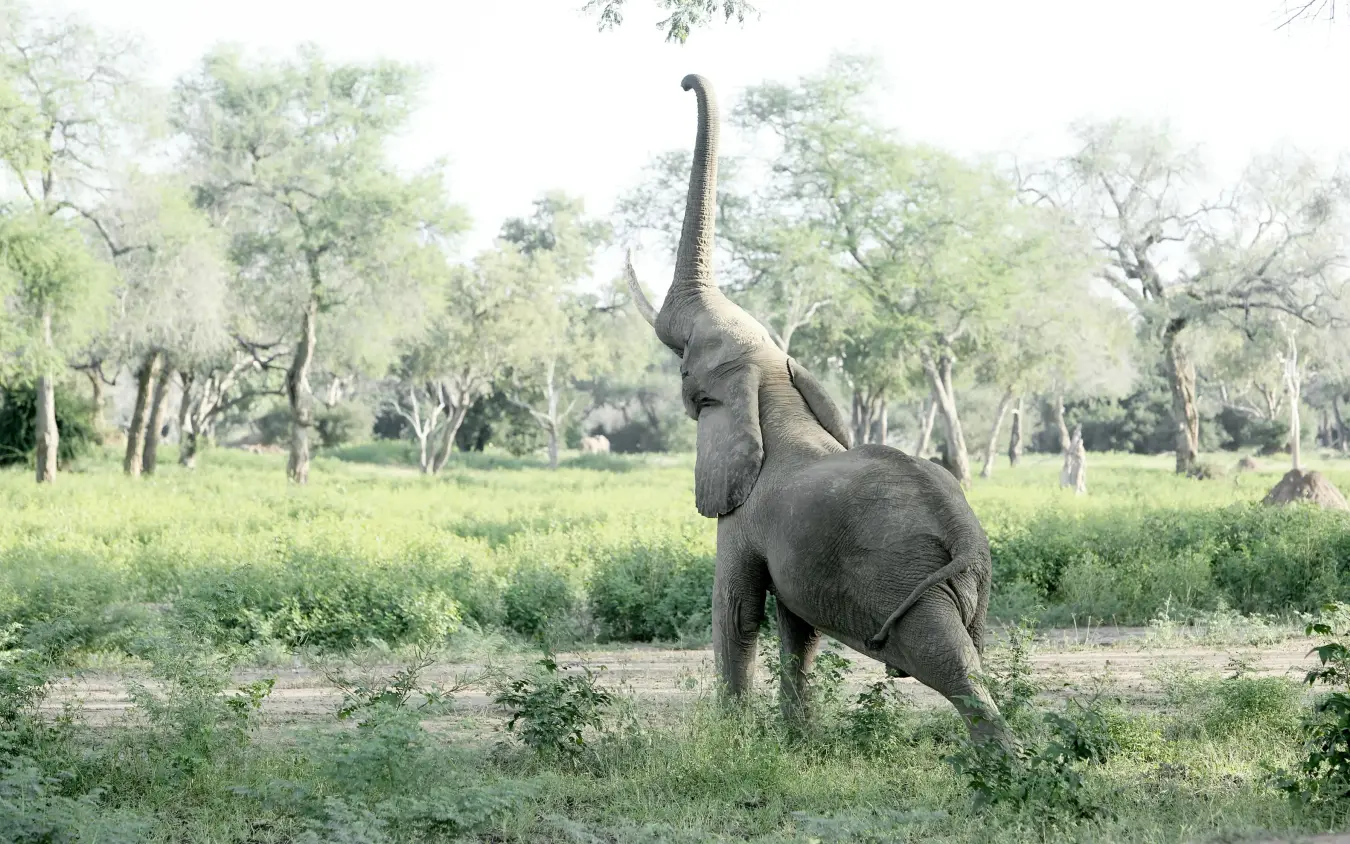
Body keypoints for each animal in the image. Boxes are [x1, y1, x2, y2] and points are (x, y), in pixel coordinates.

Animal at [622, 73, 1008, 745]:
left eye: (688, 368)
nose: (685, 80)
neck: (774, 385)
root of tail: (964, 534)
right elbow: (797, 632)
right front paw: (796, 743)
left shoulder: (741, 519)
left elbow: (736, 611)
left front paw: (731, 745)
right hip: (972, 587)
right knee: (972, 659)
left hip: (904, 579)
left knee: (953, 668)